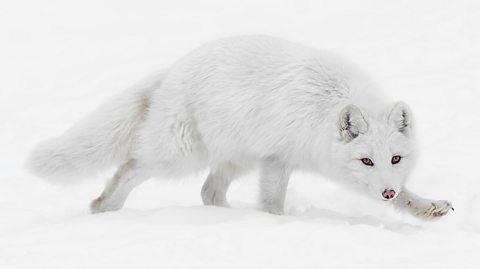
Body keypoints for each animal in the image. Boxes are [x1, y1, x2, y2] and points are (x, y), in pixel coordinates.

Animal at [28, 35, 452, 218]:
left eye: (395, 159)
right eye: (366, 160)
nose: (385, 191)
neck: (323, 108)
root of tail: (174, 69)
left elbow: (406, 197)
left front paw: (426, 207)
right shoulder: (277, 160)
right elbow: (271, 203)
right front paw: (274, 223)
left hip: (236, 159)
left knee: (208, 192)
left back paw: (226, 219)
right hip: (180, 156)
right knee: (131, 167)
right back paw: (104, 207)